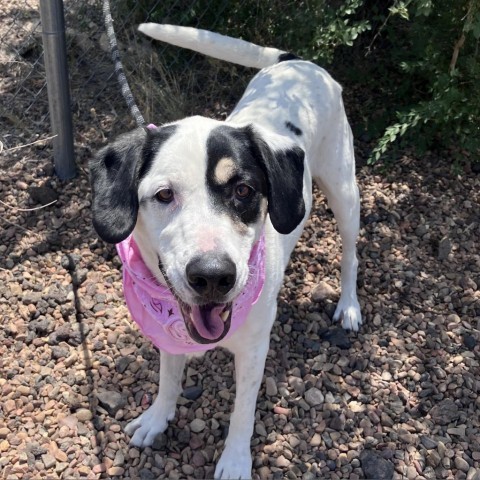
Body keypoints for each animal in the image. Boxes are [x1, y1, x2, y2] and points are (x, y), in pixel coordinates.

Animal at [89, 23, 360, 480]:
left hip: (344, 190)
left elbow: (243, 412)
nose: (213, 276)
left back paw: (350, 305)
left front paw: (234, 460)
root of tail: (297, 62)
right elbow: (168, 377)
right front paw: (157, 417)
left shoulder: (253, 350)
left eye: (244, 190)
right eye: (163, 195)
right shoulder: (169, 331)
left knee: (351, 254)